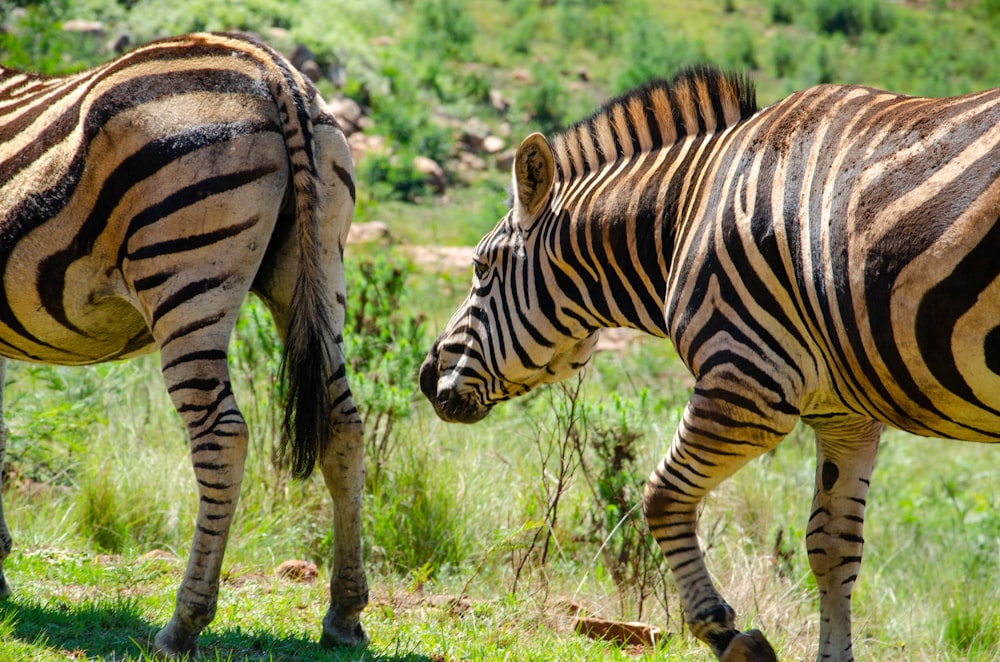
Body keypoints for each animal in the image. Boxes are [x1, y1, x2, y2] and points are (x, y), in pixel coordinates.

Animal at [0, 32, 370, 660]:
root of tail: (272, 71)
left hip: (184, 280)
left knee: (221, 436)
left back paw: (182, 625)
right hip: (320, 266)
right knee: (343, 423)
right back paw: (344, 616)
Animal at [420, 68, 1000, 662]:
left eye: (480, 267)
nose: (424, 377)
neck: (686, 215)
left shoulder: (745, 380)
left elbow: (660, 497)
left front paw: (726, 633)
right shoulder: (845, 414)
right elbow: (831, 544)